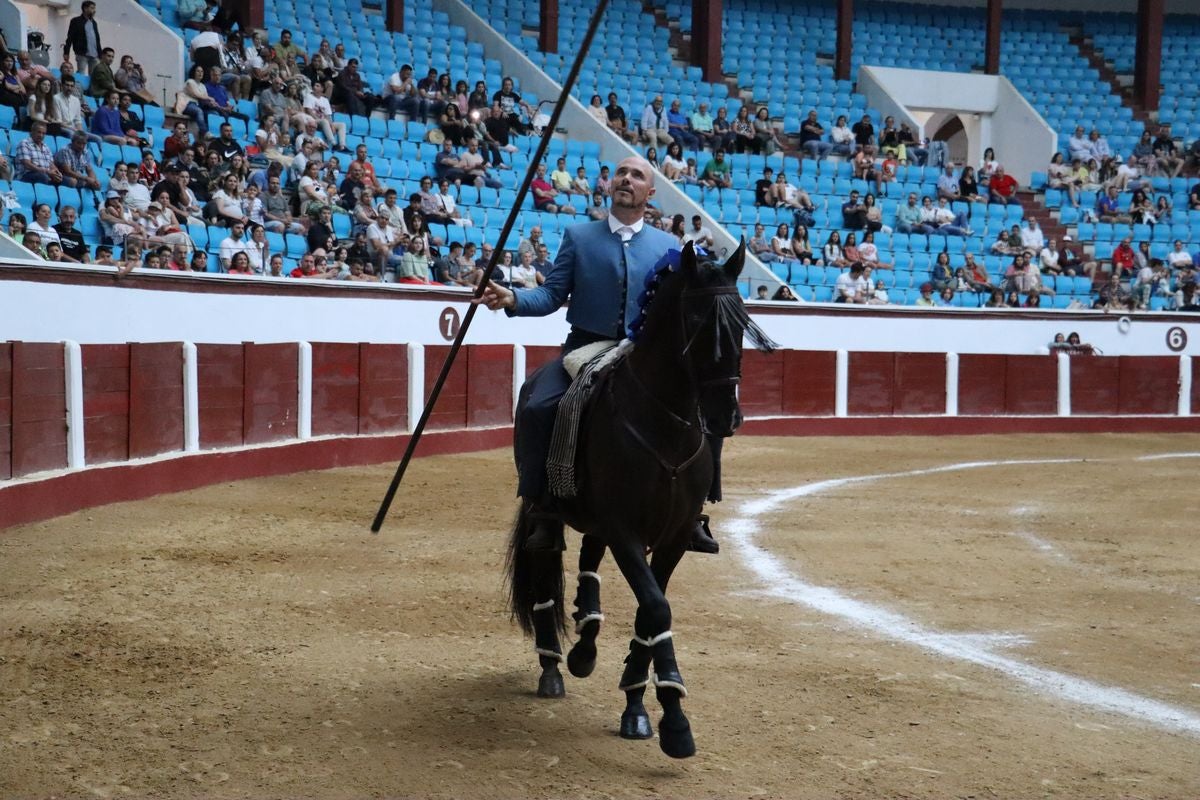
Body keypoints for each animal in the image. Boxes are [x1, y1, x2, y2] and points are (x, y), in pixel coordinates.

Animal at [505, 241, 775, 758]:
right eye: (696, 321)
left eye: (742, 324)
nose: (725, 417)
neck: (664, 424)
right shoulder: (626, 532)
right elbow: (655, 608)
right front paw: (675, 720)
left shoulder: (671, 537)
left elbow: (650, 611)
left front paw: (638, 706)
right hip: (547, 510)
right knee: (545, 576)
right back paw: (553, 666)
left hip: (598, 520)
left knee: (588, 561)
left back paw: (585, 643)